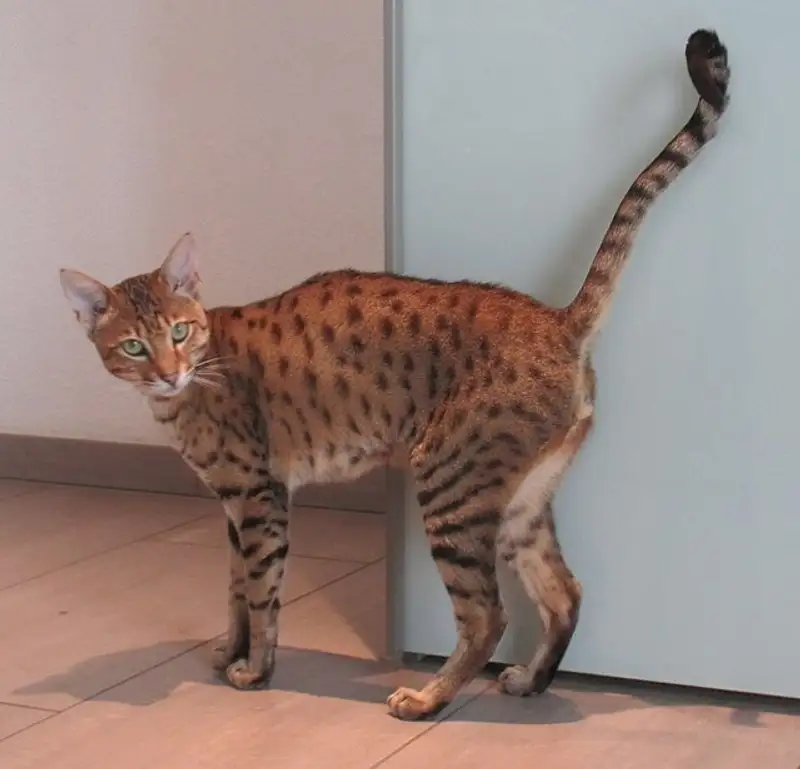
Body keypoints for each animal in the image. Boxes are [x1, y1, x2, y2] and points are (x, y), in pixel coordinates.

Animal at [59, 30, 729, 720]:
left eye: (179, 333)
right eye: (134, 346)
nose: (168, 373)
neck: (188, 392)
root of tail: (560, 320)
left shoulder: (258, 496)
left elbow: (261, 591)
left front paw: (254, 669)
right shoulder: (232, 505)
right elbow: (234, 590)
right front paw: (228, 651)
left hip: (450, 482)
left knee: (487, 616)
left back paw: (428, 699)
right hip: (522, 500)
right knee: (565, 591)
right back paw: (528, 681)